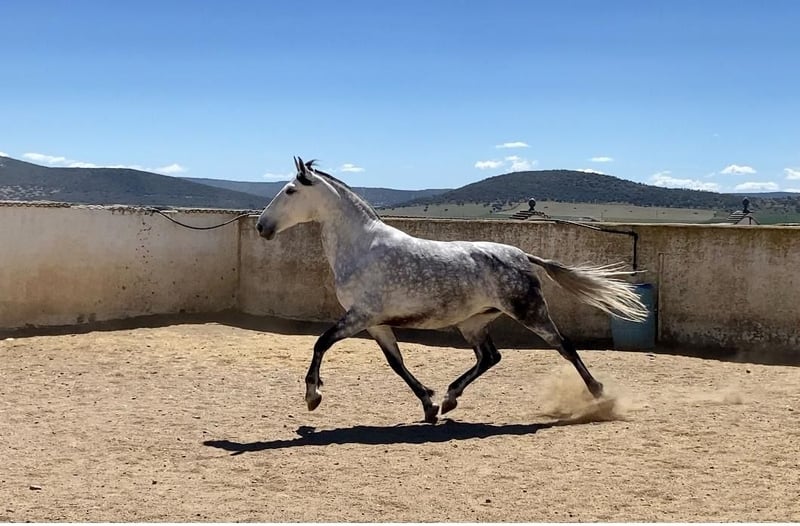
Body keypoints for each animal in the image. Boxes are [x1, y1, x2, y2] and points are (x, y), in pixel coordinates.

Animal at [256, 157, 647, 423]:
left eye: (290, 190)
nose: (262, 227)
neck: (363, 247)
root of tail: (523, 255)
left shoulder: (360, 316)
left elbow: (321, 343)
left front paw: (313, 395)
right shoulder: (376, 323)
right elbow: (396, 363)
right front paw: (430, 405)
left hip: (530, 312)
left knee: (564, 346)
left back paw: (598, 394)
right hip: (473, 323)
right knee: (490, 357)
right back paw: (450, 398)